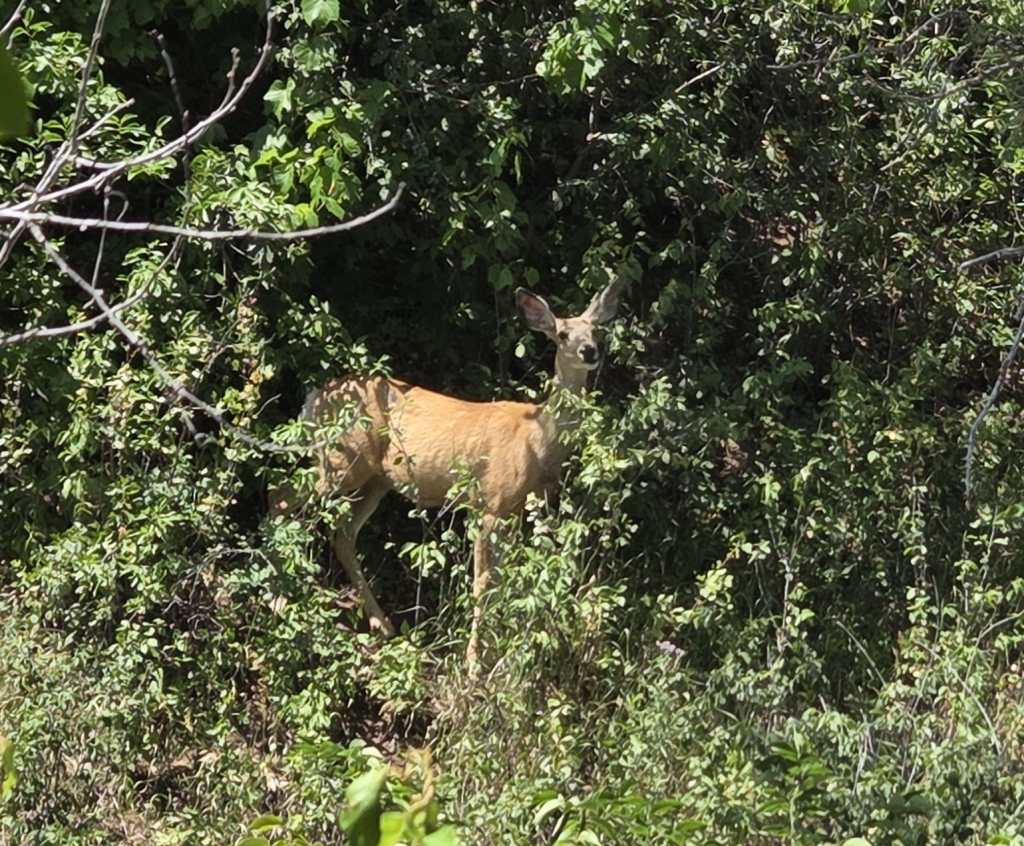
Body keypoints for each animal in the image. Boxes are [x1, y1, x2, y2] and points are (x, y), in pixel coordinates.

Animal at [271, 276, 625, 666]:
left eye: (596, 329)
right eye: (562, 334)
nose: (590, 351)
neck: (536, 438)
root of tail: (314, 398)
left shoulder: (517, 508)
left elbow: (508, 578)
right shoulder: (490, 502)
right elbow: (483, 584)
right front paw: (475, 662)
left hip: (375, 479)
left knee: (343, 533)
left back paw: (382, 626)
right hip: (341, 460)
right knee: (281, 497)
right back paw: (280, 602)